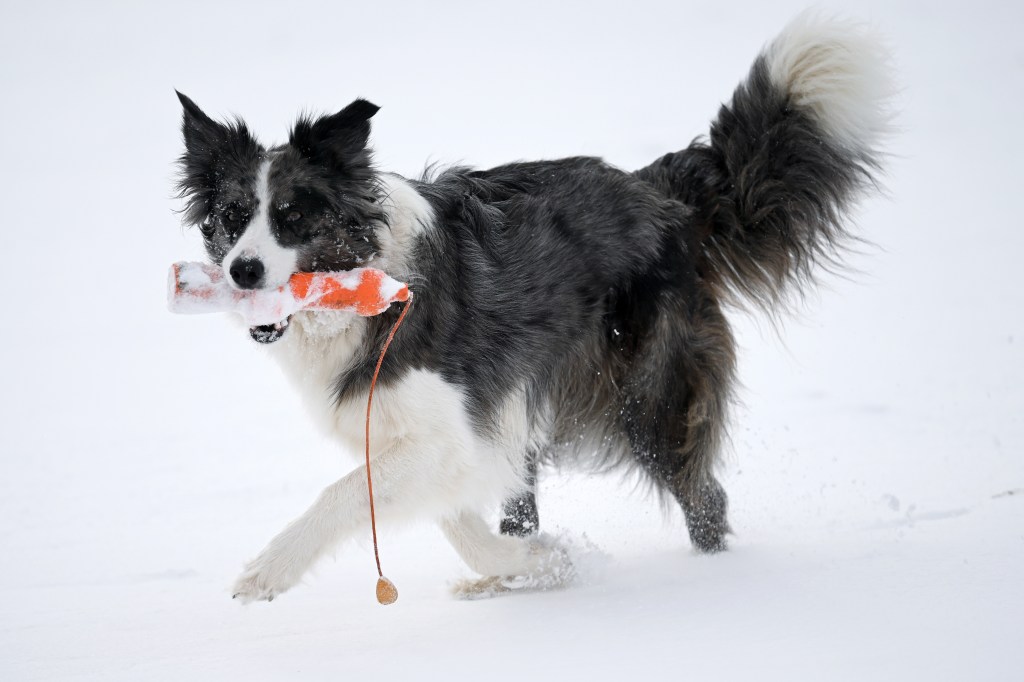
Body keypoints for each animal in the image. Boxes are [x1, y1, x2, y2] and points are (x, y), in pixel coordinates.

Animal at [176, 13, 888, 602]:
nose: (243, 271)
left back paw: (714, 581)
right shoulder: (445, 435)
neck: (368, 287)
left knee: (706, 498)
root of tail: (658, 192)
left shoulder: (446, 430)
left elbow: (347, 491)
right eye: (232, 217)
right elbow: (456, 519)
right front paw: (533, 564)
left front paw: (266, 572)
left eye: (293, 217)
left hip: (649, 397)